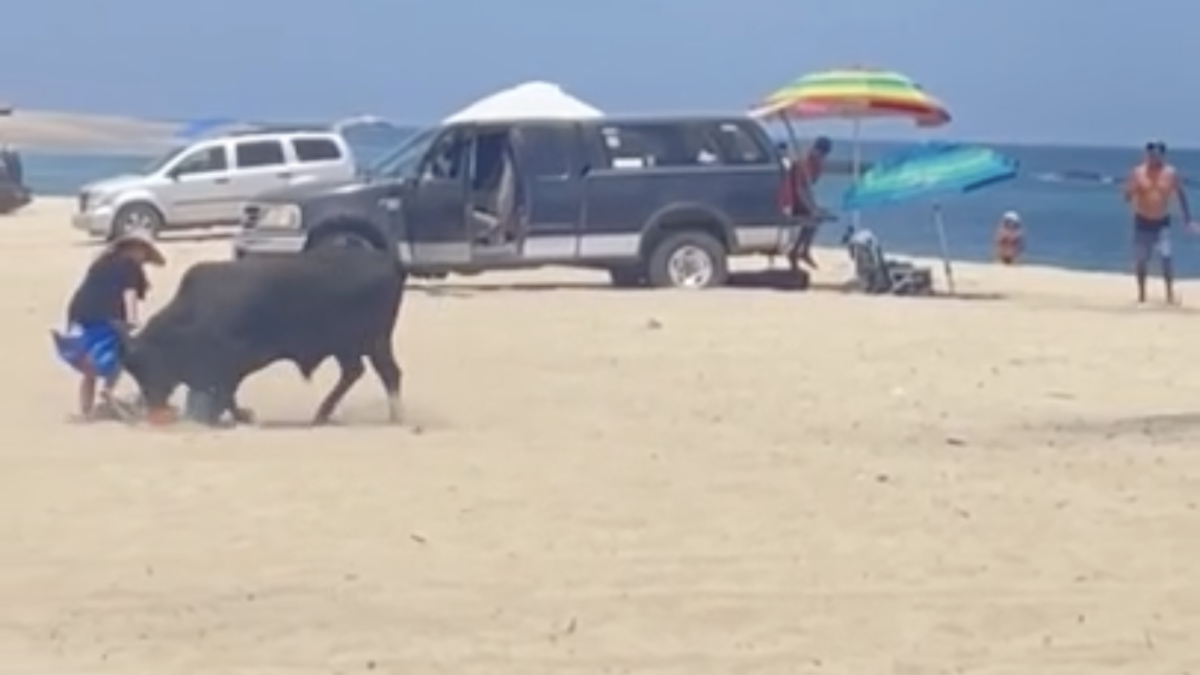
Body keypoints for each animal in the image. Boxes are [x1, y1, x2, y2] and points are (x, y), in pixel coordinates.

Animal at [120, 247, 408, 425]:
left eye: (145, 364)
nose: (151, 403)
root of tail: (390, 262)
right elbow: (227, 394)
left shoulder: (233, 364)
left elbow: (227, 393)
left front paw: (236, 416)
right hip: (353, 346)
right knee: (361, 372)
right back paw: (324, 415)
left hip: (367, 342)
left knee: (384, 372)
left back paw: (392, 417)